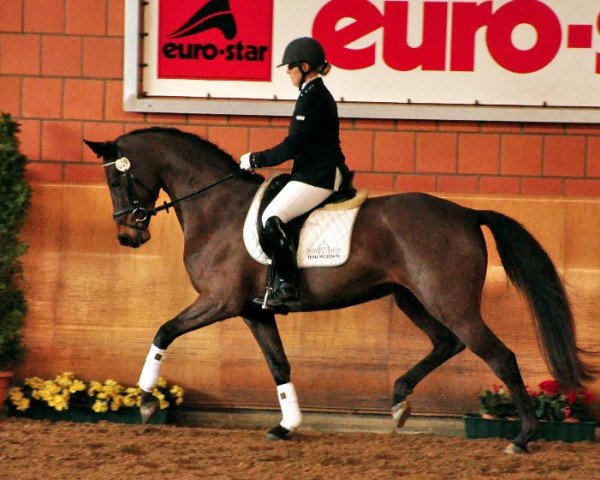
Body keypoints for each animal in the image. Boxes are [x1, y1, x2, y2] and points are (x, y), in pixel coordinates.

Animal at [84, 126, 596, 454]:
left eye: (115, 177)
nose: (128, 236)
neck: (215, 206)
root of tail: (468, 213)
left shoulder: (220, 302)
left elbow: (164, 331)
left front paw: (146, 400)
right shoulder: (254, 310)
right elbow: (278, 364)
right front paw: (286, 426)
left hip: (448, 301)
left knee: (499, 356)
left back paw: (523, 438)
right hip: (410, 297)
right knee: (446, 343)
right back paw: (399, 400)